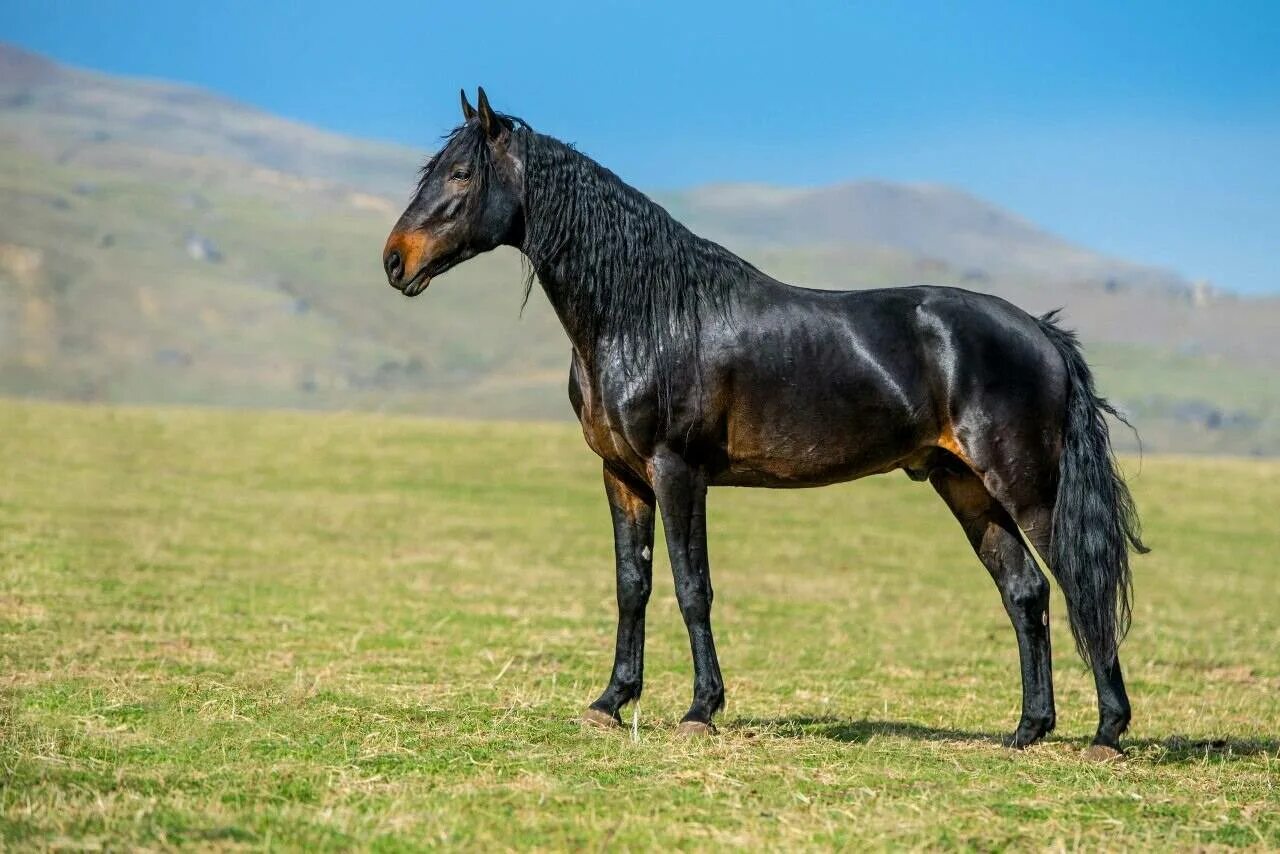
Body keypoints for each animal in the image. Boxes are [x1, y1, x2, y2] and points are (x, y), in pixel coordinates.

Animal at [381, 90, 1152, 757]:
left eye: (459, 173)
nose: (394, 260)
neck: (644, 315)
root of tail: (1042, 333)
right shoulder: (621, 475)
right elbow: (633, 586)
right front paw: (610, 703)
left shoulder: (677, 471)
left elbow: (692, 587)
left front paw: (700, 710)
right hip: (963, 484)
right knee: (1026, 592)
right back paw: (1027, 730)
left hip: (1027, 486)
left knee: (1078, 583)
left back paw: (1107, 732)